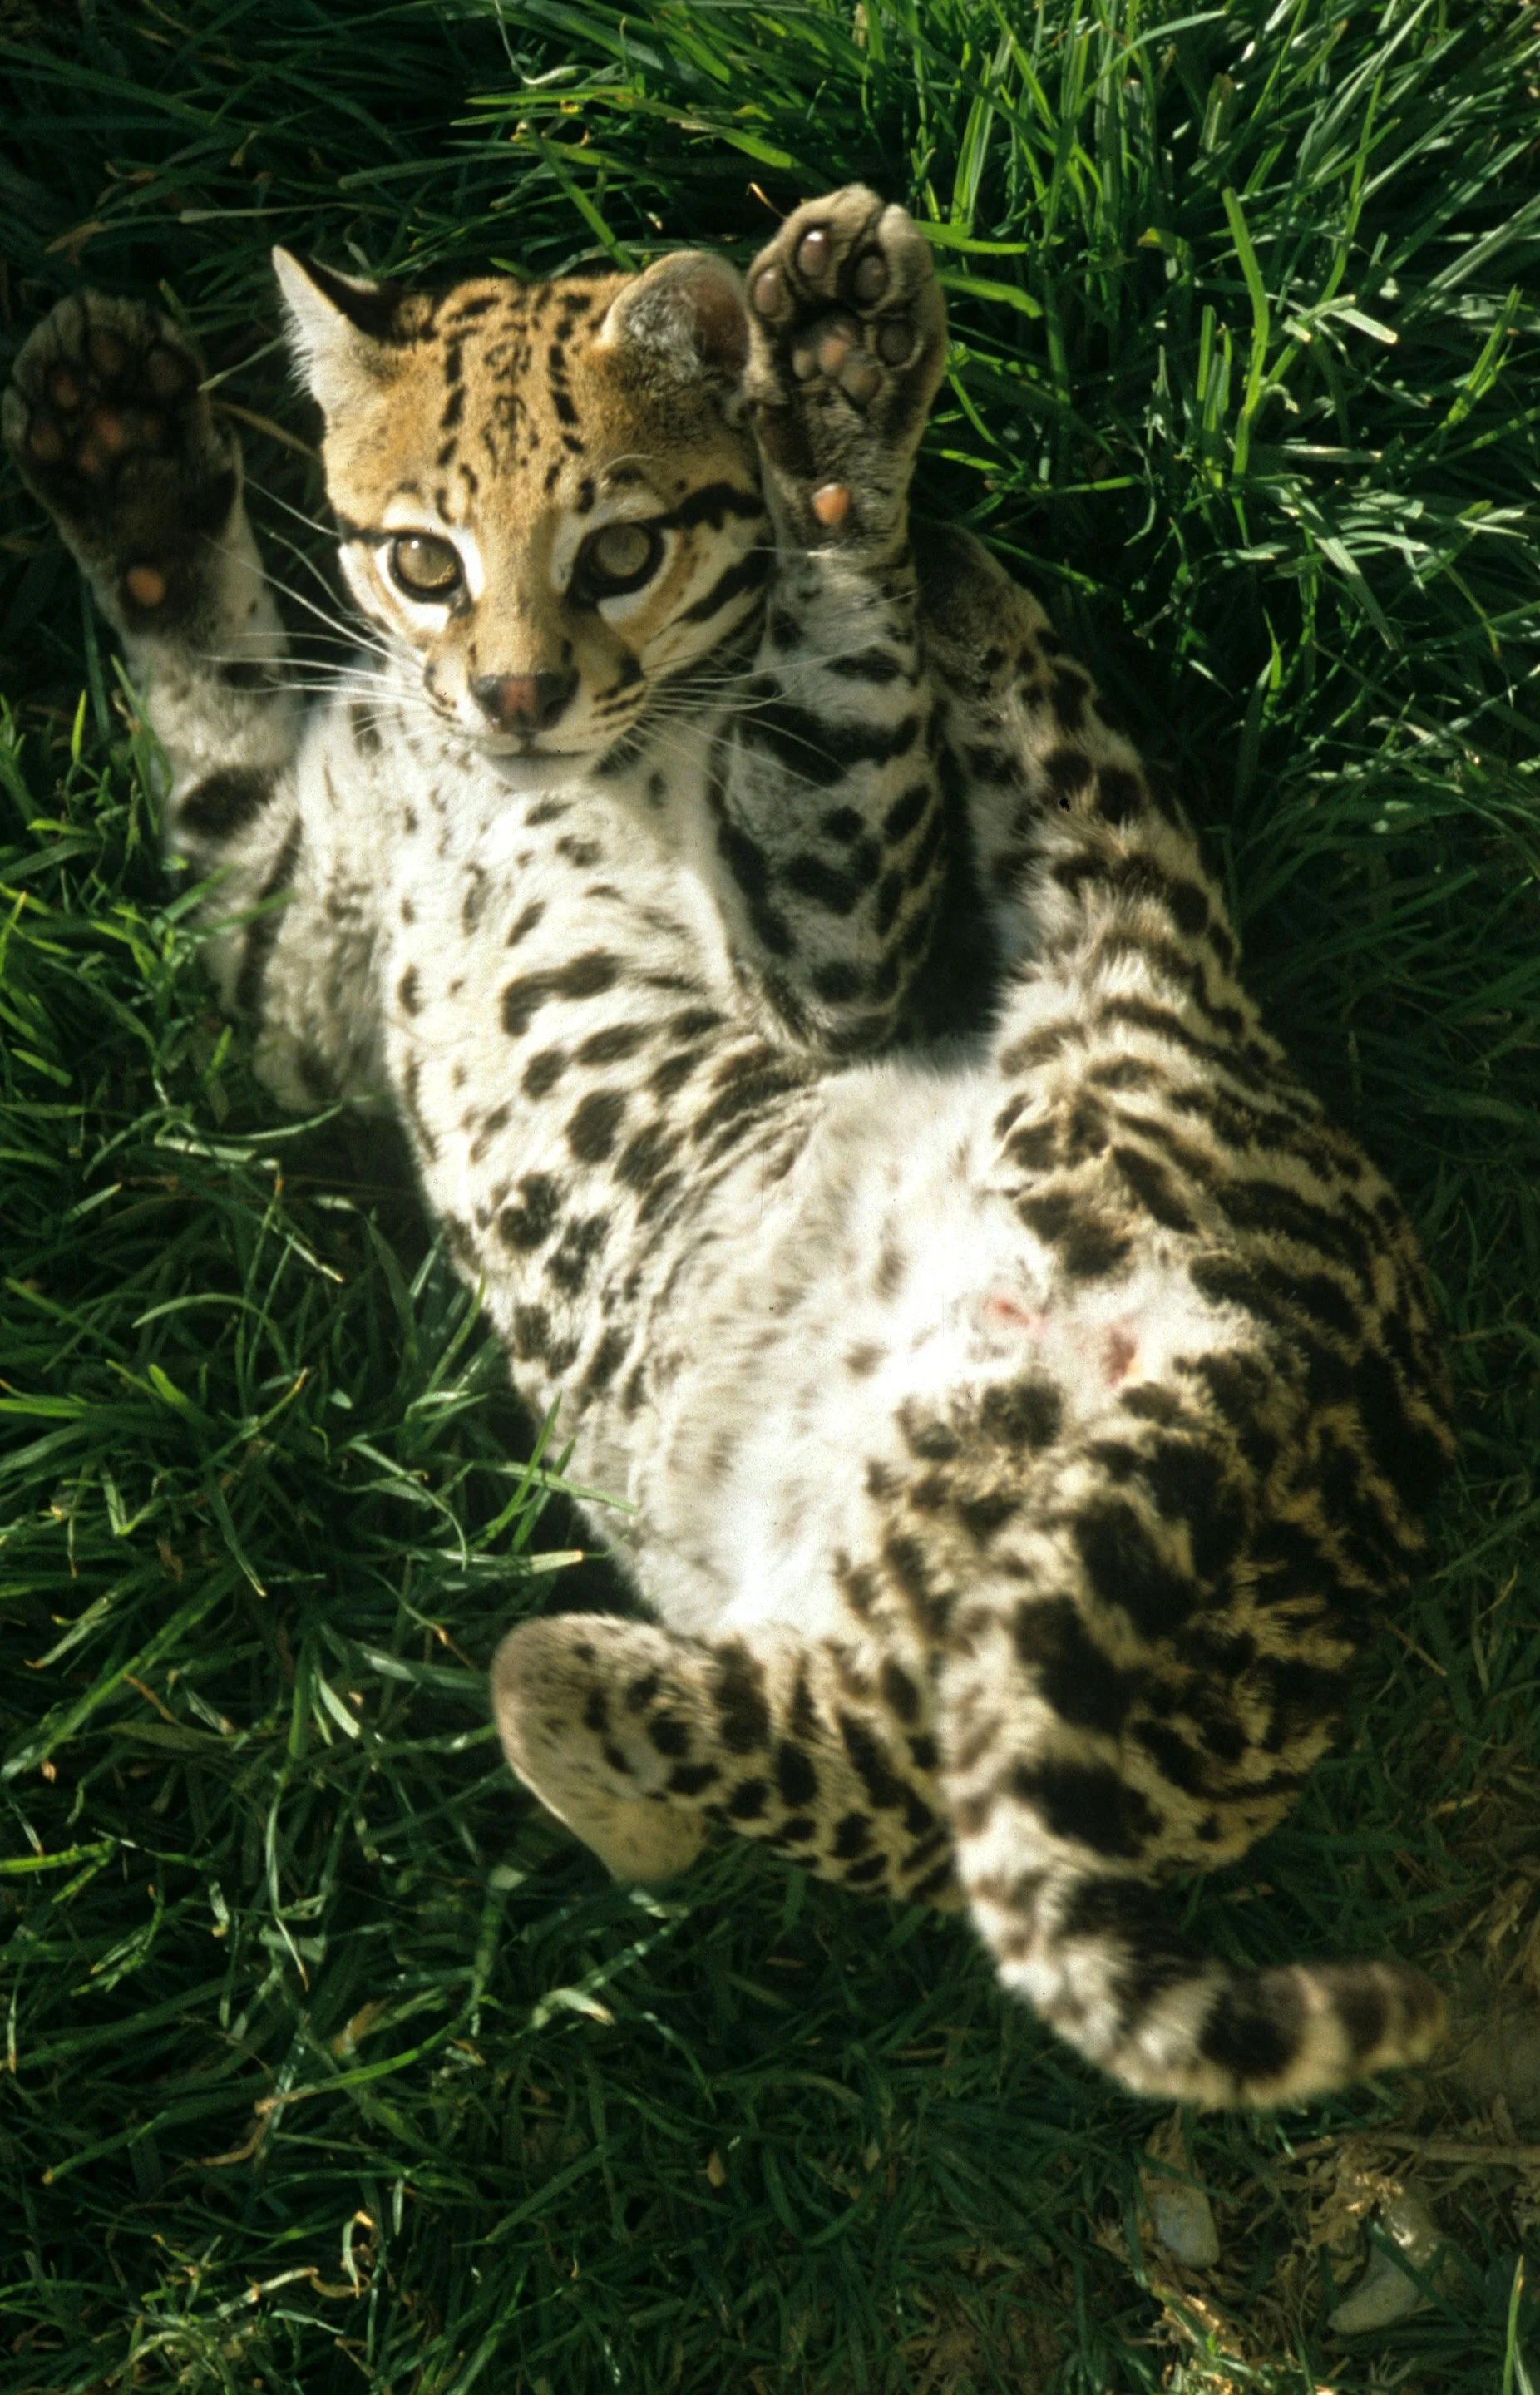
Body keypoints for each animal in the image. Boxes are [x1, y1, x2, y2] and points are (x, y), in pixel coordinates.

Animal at [4, 185, 1454, 2108]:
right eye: (423, 563)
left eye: (618, 551)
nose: (516, 697)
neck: (476, 773)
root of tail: (1275, 1354)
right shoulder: (287, 976)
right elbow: (215, 732)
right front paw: (123, 459)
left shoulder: (836, 970)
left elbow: (832, 735)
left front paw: (818, 472)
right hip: (1097, 916)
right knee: (1044, 707)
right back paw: (914, 479)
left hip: (887, 1706)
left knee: (567, 1685)